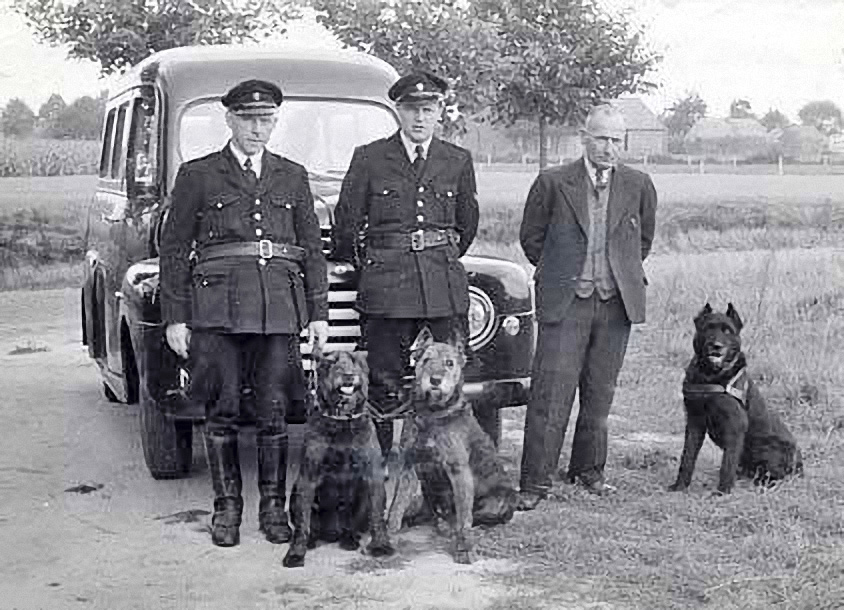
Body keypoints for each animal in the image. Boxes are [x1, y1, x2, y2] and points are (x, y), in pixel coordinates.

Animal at [280, 350, 392, 568]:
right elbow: (302, 523)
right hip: (296, 492)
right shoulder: (307, 478)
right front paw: (296, 553)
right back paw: (313, 540)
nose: (348, 375)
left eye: (355, 361)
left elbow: (377, 516)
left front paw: (382, 545)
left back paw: (349, 539)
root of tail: (331, 533)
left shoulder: (373, 476)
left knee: (351, 524)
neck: (341, 421)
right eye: (331, 362)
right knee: (308, 523)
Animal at [390, 330, 520, 564]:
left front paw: (464, 549)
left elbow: (464, 518)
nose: (435, 380)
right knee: (431, 510)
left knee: (475, 517)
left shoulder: (458, 470)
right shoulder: (408, 467)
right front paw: (387, 535)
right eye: (426, 360)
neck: (432, 413)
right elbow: (396, 505)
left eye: (449, 363)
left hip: (502, 499)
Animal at [668, 300, 800, 494]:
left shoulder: (735, 426)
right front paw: (680, 485)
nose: (716, 346)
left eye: (727, 330)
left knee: (774, 475)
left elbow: (727, 463)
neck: (711, 376)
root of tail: (799, 465)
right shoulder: (694, 422)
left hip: (764, 447)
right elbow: (687, 457)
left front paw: (722, 492)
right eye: (708, 328)